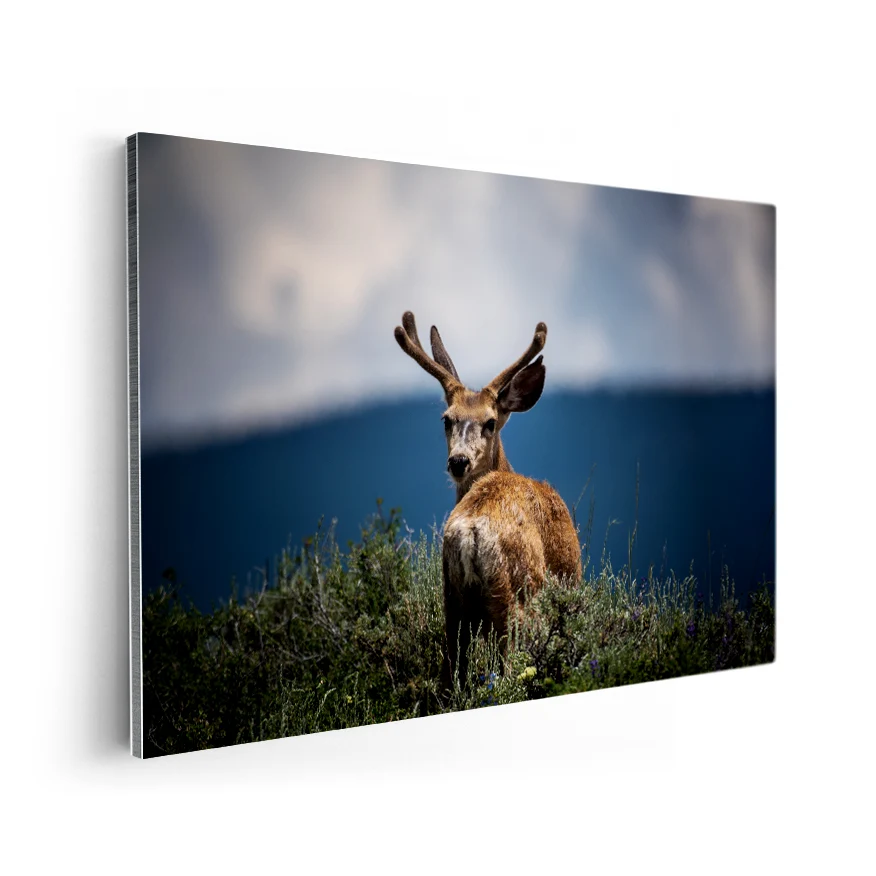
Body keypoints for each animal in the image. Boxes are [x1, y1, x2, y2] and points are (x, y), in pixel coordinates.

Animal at [394, 311, 581, 685]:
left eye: (490, 422)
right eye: (447, 419)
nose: (459, 461)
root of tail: (471, 534)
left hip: (452, 599)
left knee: (452, 674)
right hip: (516, 599)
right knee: (509, 670)